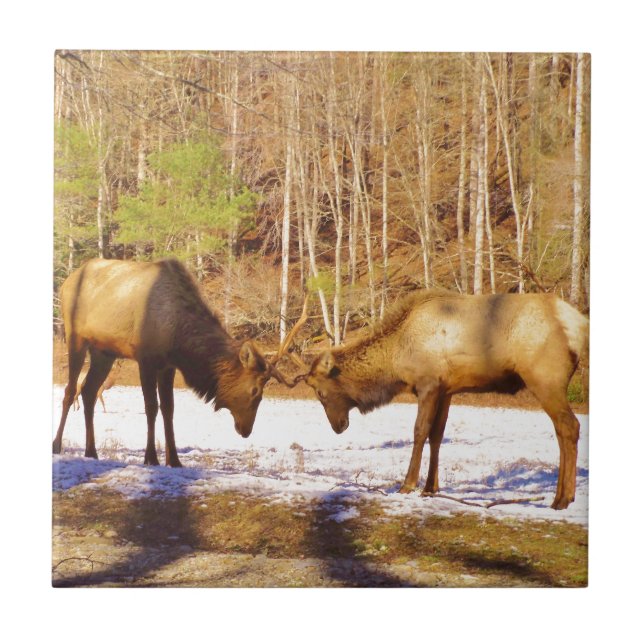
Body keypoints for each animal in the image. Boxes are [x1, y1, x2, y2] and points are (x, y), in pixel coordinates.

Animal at [53, 258, 297, 467]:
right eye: (255, 391)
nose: (246, 430)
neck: (179, 341)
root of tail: (65, 283)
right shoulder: (146, 359)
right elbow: (151, 407)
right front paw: (151, 458)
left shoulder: (168, 365)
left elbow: (169, 408)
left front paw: (174, 460)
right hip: (75, 337)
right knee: (70, 390)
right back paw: (57, 445)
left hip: (104, 352)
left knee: (89, 391)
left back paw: (91, 452)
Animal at [298, 290, 589, 510]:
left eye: (321, 393)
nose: (338, 427)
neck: (396, 358)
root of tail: (579, 324)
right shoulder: (447, 389)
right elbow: (437, 435)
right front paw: (430, 488)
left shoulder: (428, 383)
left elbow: (420, 431)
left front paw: (407, 484)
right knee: (562, 430)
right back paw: (564, 495)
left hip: (544, 378)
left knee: (570, 426)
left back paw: (562, 499)